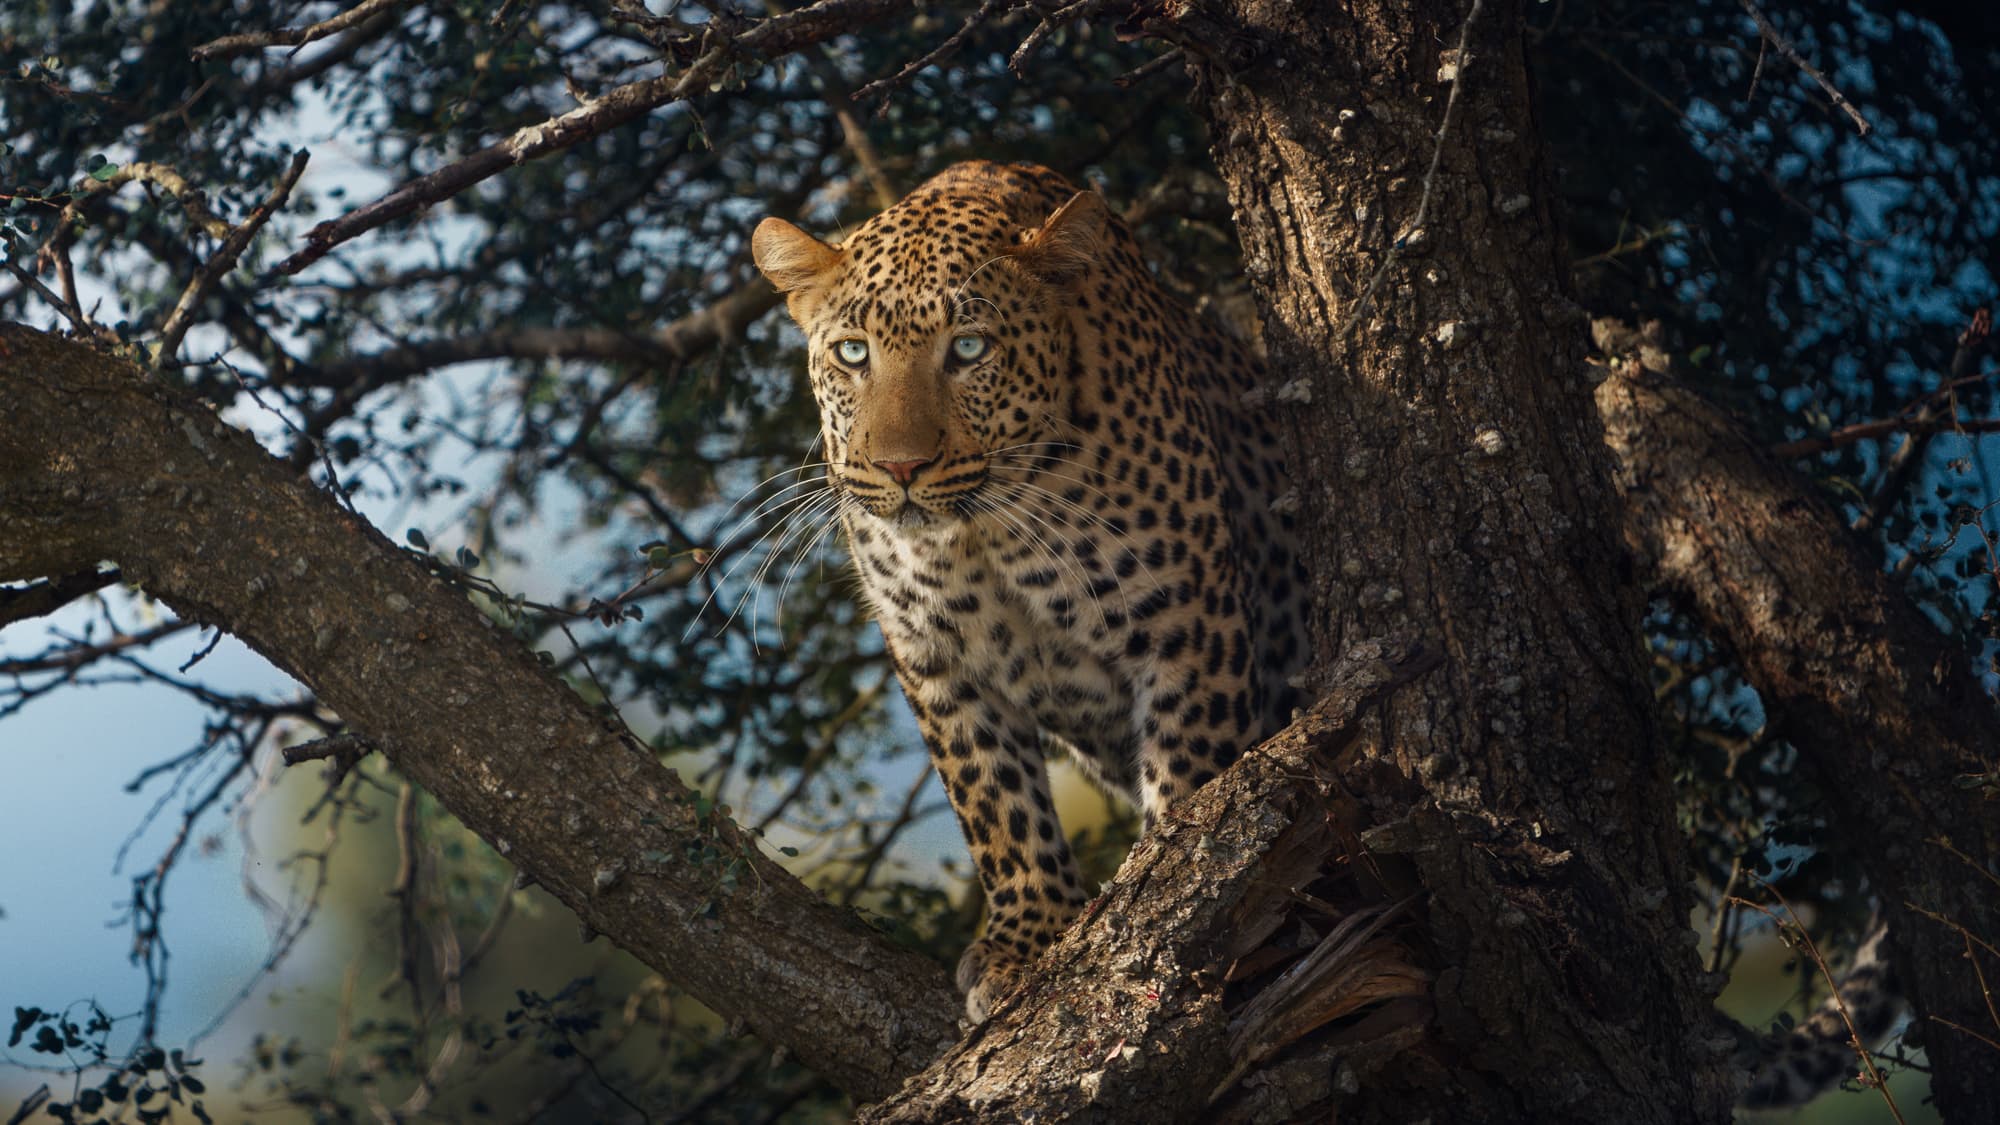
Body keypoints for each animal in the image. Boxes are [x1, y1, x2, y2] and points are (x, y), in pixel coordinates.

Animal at [752, 162, 1312, 1020]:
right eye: (852, 353)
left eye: (969, 348)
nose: (900, 467)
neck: (984, 530)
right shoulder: (938, 659)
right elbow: (995, 801)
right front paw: (1029, 938)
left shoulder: (1188, 624)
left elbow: (1193, 784)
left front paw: (1168, 900)